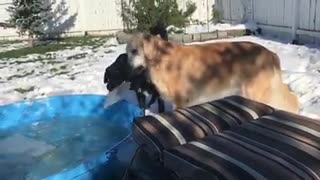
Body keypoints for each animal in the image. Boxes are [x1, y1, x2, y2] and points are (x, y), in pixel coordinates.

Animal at [125, 33, 300, 113]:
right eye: (127, 52)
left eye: (134, 51)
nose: (126, 70)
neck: (161, 58)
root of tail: (271, 53)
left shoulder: (182, 100)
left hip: (256, 92)